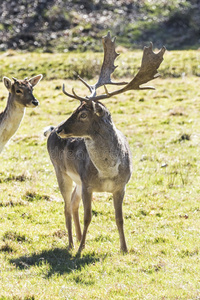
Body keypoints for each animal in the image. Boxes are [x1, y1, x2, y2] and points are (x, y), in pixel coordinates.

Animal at [47, 32, 166, 253]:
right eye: (75, 109)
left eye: (83, 114)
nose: (60, 129)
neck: (107, 172)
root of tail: (48, 132)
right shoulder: (87, 184)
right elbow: (88, 217)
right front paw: (80, 250)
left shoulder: (121, 187)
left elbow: (120, 219)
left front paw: (124, 248)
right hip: (61, 171)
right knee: (66, 206)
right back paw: (72, 243)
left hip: (76, 181)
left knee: (73, 204)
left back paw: (79, 239)